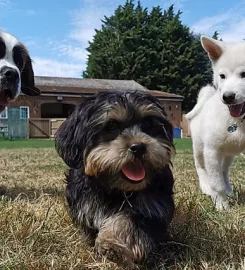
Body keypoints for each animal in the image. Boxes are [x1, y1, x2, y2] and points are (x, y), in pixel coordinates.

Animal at [55, 90, 175, 266]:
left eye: (148, 123)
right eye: (111, 126)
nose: (138, 147)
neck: (120, 189)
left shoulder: (152, 206)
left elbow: (127, 219)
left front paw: (111, 244)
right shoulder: (84, 200)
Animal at [186, 34, 245, 210]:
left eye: (244, 74)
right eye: (222, 76)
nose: (227, 97)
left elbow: (221, 177)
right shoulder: (211, 151)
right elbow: (217, 184)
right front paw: (221, 205)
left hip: (229, 152)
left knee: (224, 171)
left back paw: (230, 190)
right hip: (200, 148)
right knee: (201, 168)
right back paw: (207, 188)